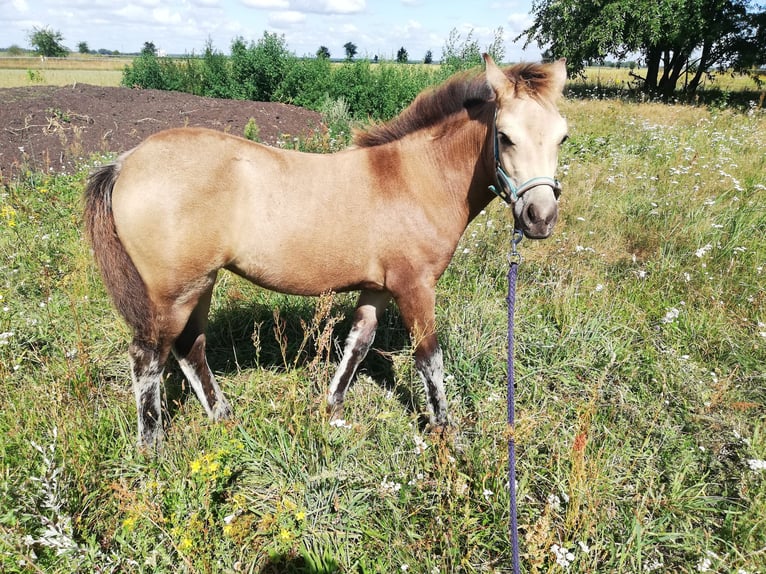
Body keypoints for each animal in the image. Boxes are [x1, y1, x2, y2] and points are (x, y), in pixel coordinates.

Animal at [84, 55, 568, 450]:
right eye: (504, 136)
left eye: (562, 137)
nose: (539, 217)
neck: (415, 177)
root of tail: (125, 163)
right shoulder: (415, 287)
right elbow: (429, 357)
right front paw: (447, 435)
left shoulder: (379, 288)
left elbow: (357, 343)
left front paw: (330, 407)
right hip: (173, 293)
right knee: (148, 356)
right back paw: (153, 447)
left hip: (199, 285)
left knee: (189, 348)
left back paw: (224, 417)